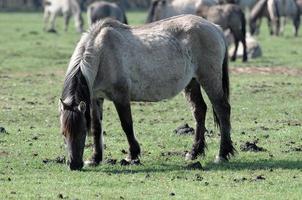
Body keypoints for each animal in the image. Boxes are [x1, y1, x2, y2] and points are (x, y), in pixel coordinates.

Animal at [59, 14, 234, 170]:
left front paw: (132, 156)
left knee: (222, 109)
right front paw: (95, 159)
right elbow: (97, 127)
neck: (102, 53)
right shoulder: (96, 97)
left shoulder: (121, 96)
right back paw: (194, 152)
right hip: (192, 82)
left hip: (209, 80)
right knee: (199, 111)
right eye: (64, 133)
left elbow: (126, 125)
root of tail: (215, 28)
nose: (74, 165)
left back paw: (222, 154)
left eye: (82, 132)